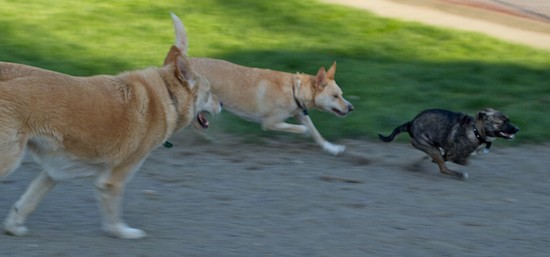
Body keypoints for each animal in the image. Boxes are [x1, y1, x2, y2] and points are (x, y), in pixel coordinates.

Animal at [2, 13, 223, 238]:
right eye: (209, 91)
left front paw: (13, 227)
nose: (222, 104)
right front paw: (124, 232)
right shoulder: (113, 179)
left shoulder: (55, 171)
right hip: (9, 159)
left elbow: (28, 202)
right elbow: (113, 216)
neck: (167, 96)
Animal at [189, 57, 354, 154]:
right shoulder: (270, 123)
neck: (295, 90)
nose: (351, 107)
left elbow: (316, 132)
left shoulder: (301, 114)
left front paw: (332, 148)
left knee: (196, 123)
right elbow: (304, 128)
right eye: (335, 96)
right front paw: (304, 131)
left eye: (341, 94)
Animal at [382, 107, 520, 178]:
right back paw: (460, 174)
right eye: (501, 122)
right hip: (432, 148)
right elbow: (460, 160)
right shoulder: (455, 153)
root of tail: (411, 123)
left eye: (508, 120)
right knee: (443, 168)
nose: (517, 129)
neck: (475, 130)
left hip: (432, 147)